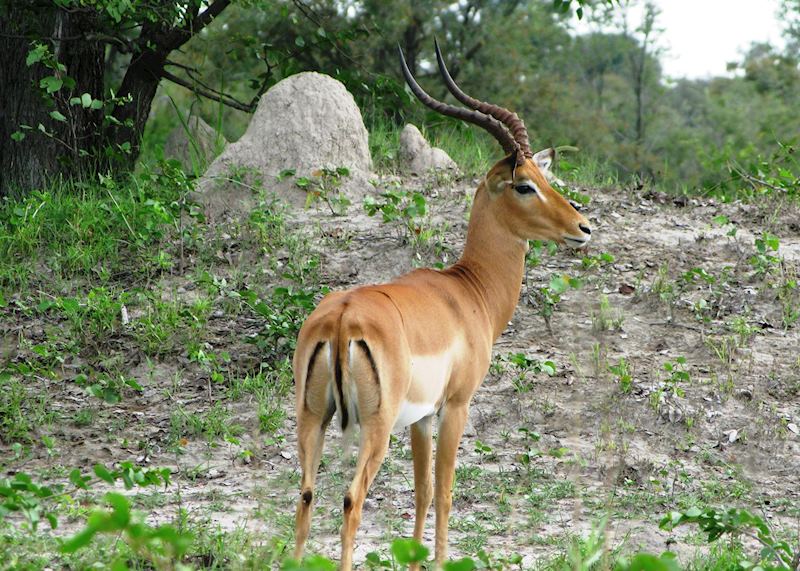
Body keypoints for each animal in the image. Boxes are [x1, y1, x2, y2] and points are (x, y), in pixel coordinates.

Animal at [292, 42, 592, 569]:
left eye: (544, 176)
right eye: (524, 185)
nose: (583, 227)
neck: (469, 291)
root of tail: (343, 318)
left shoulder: (422, 417)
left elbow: (422, 492)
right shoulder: (455, 406)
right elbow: (447, 491)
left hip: (313, 418)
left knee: (306, 498)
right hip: (376, 428)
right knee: (351, 499)